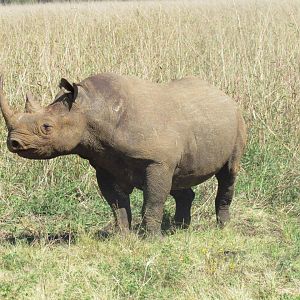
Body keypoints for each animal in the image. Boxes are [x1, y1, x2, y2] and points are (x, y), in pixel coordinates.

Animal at [0, 74, 247, 236]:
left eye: (47, 127)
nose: (13, 143)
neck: (90, 110)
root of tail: (225, 95)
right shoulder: (105, 163)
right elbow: (116, 203)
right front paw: (123, 237)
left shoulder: (157, 161)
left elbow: (153, 200)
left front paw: (151, 239)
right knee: (179, 178)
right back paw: (179, 229)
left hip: (237, 120)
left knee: (228, 174)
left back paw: (222, 228)